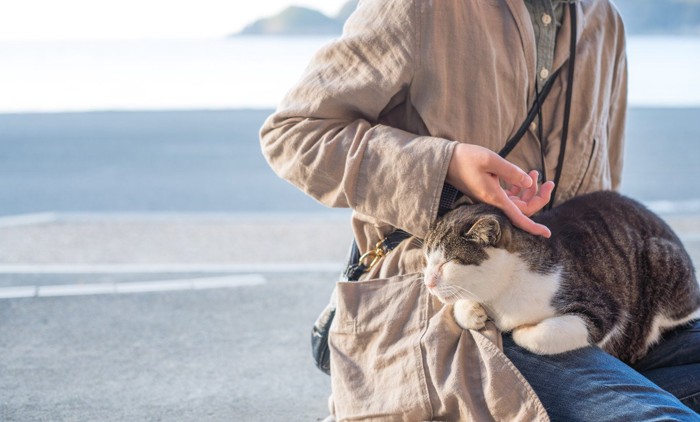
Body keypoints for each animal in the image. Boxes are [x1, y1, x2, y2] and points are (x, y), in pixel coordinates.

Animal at [422, 190, 700, 362]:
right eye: (427, 258)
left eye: (449, 261)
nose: (428, 282)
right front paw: (472, 311)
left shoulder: (605, 308)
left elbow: (547, 333)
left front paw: (521, 330)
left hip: (661, 258)